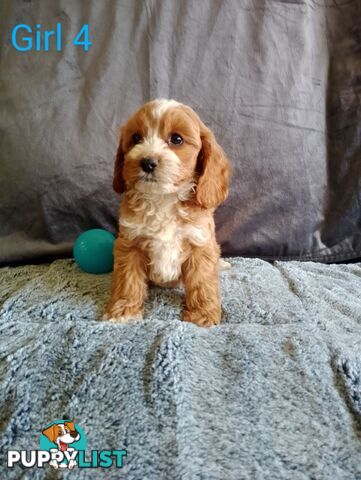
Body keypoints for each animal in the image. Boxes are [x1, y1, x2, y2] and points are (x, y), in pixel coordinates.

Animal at [102, 99, 229, 328]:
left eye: (177, 139)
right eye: (136, 138)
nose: (147, 162)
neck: (163, 199)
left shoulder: (200, 243)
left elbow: (202, 282)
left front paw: (202, 315)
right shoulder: (130, 243)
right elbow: (127, 280)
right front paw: (123, 311)